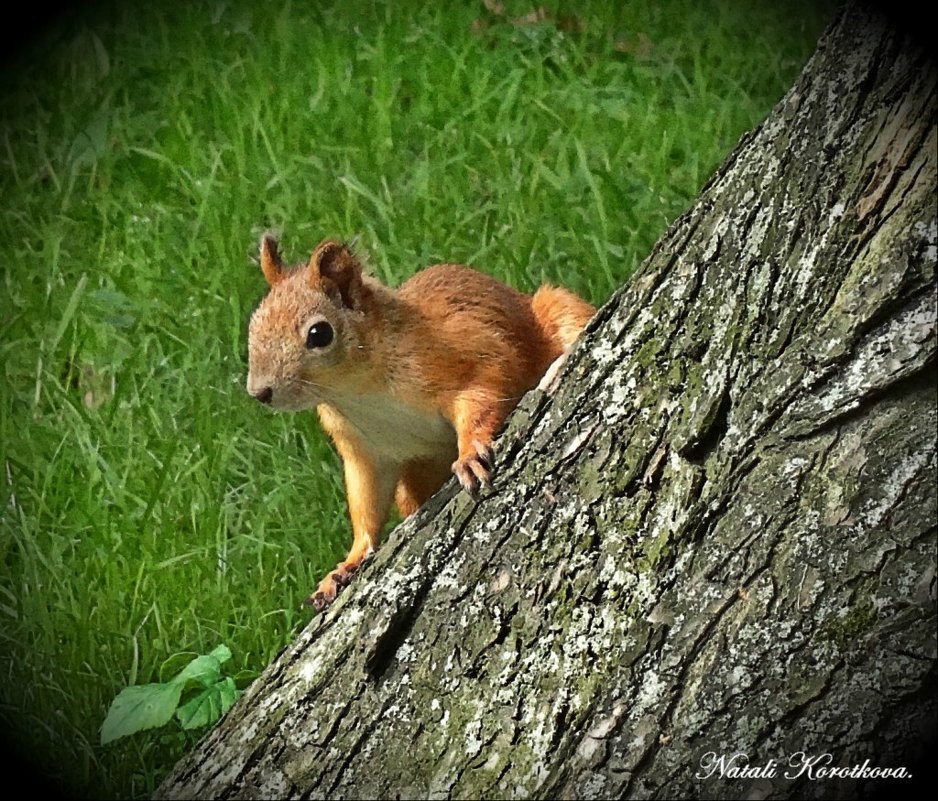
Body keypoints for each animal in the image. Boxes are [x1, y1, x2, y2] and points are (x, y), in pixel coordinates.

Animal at [245, 234, 588, 608]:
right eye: (253, 325)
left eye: (319, 334)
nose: (259, 391)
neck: (358, 392)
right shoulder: (365, 452)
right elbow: (366, 502)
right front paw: (348, 563)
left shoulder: (467, 355)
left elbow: (487, 389)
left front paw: (469, 456)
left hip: (556, 308)